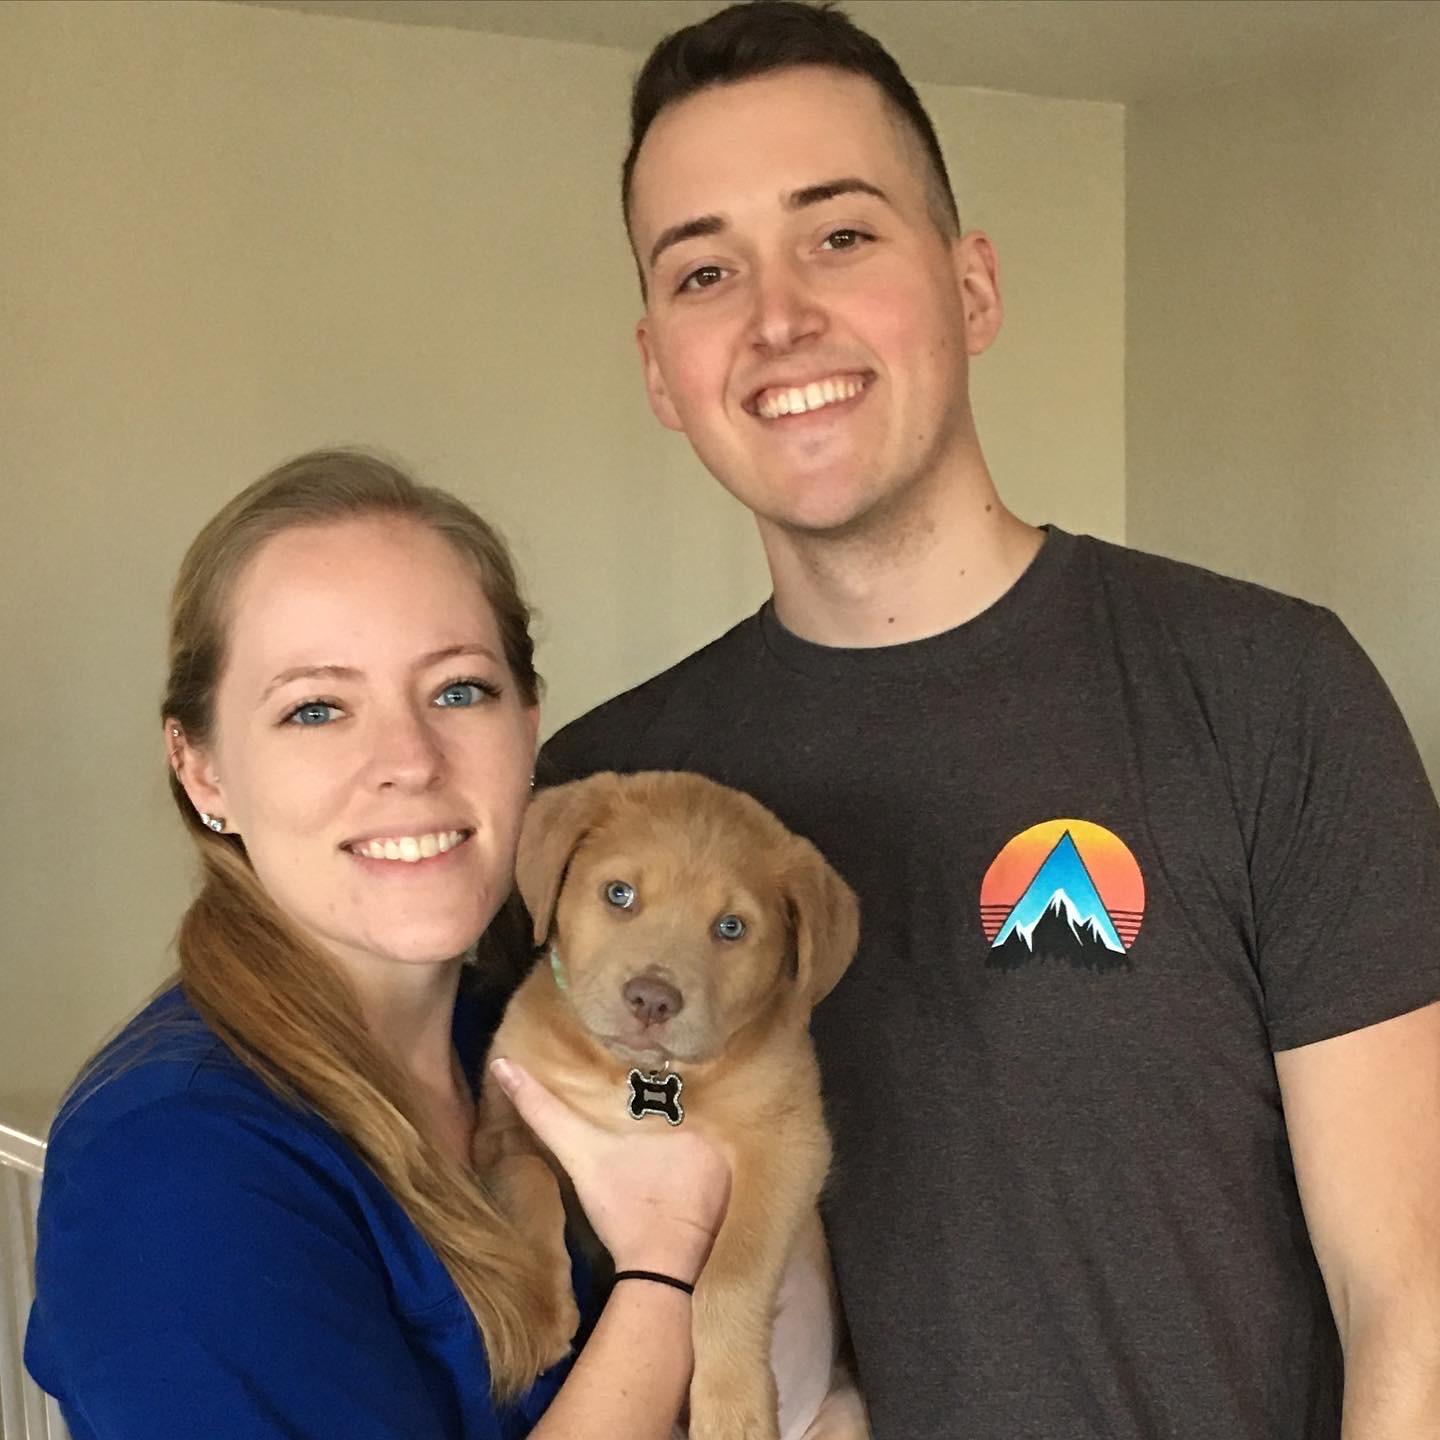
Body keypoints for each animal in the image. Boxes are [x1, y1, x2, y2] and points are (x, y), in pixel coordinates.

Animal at [475, 770, 869, 1440]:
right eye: (620, 894)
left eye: (731, 928)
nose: (652, 999)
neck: (642, 1077)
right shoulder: (503, 1114)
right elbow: (526, 1179)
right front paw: (545, 1311)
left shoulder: (790, 1145)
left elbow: (730, 1274)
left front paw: (732, 1405)